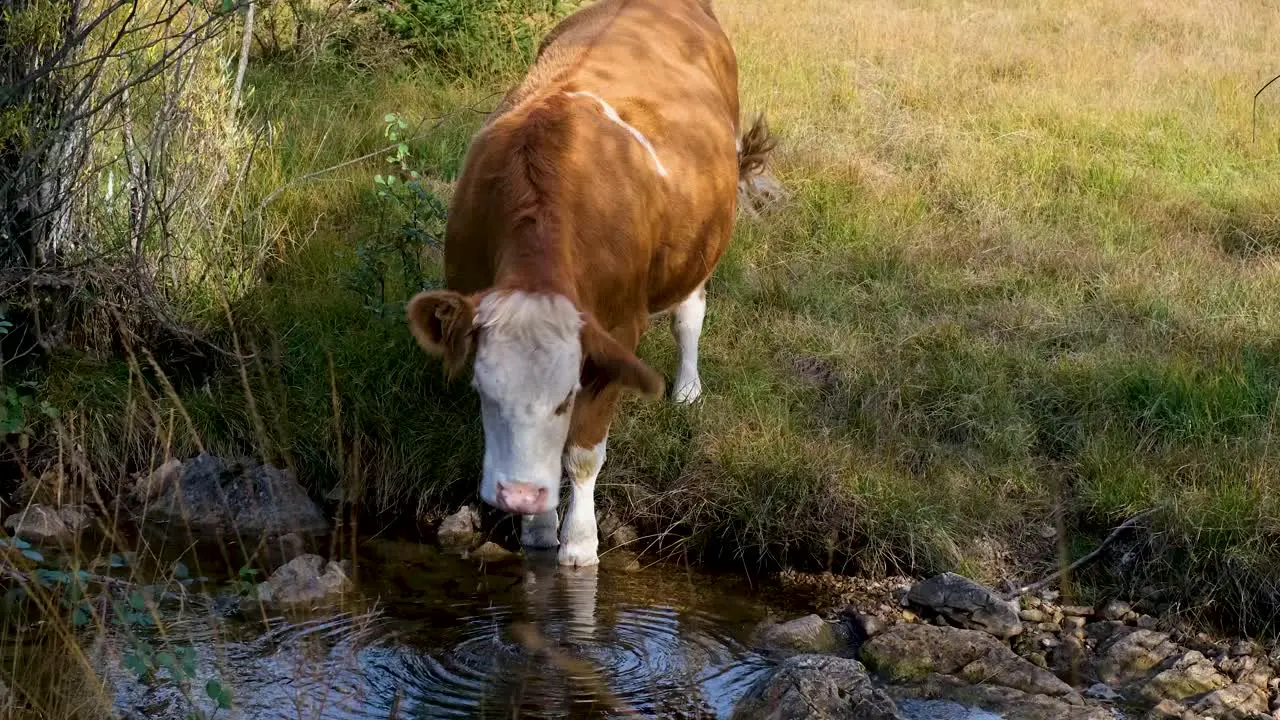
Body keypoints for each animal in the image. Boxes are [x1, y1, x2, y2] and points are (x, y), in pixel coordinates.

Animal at [404, 0, 773, 563]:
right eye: (483, 392)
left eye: (566, 397)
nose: (518, 494)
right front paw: (536, 530)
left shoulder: (616, 334)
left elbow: (581, 455)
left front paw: (579, 542)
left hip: (704, 241)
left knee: (689, 312)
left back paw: (687, 388)